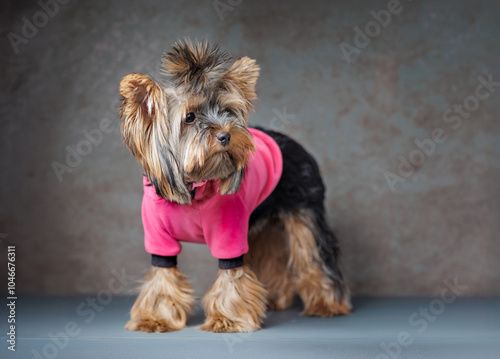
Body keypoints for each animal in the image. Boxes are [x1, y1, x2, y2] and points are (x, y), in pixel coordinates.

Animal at [119, 39, 352, 334]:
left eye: (227, 111)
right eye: (189, 117)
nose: (225, 135)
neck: (194, 185)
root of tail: (295, 143)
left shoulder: (228, 230)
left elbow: (232, 274)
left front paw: (227, 319)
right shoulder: (158, 236)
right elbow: (162, 274)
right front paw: (155, 318)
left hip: (305, 212)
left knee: (314, 256)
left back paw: (327, 305)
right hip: (263, 223)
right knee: (271, 256)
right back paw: (273, 298)